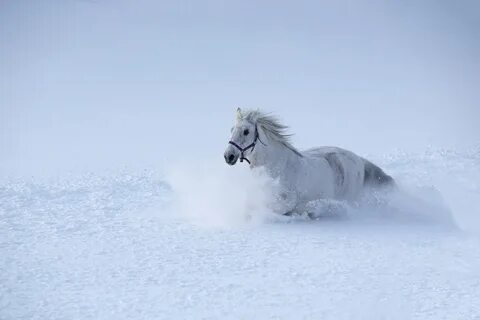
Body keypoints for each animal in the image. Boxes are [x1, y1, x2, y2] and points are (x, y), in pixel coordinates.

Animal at [224, 107, 394, 215]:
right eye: (231, 130)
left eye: (246, 131)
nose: (228, 156)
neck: (274, 167)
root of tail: (358, 159)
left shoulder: (287, 200)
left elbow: (278, 209)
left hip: (349, 197)